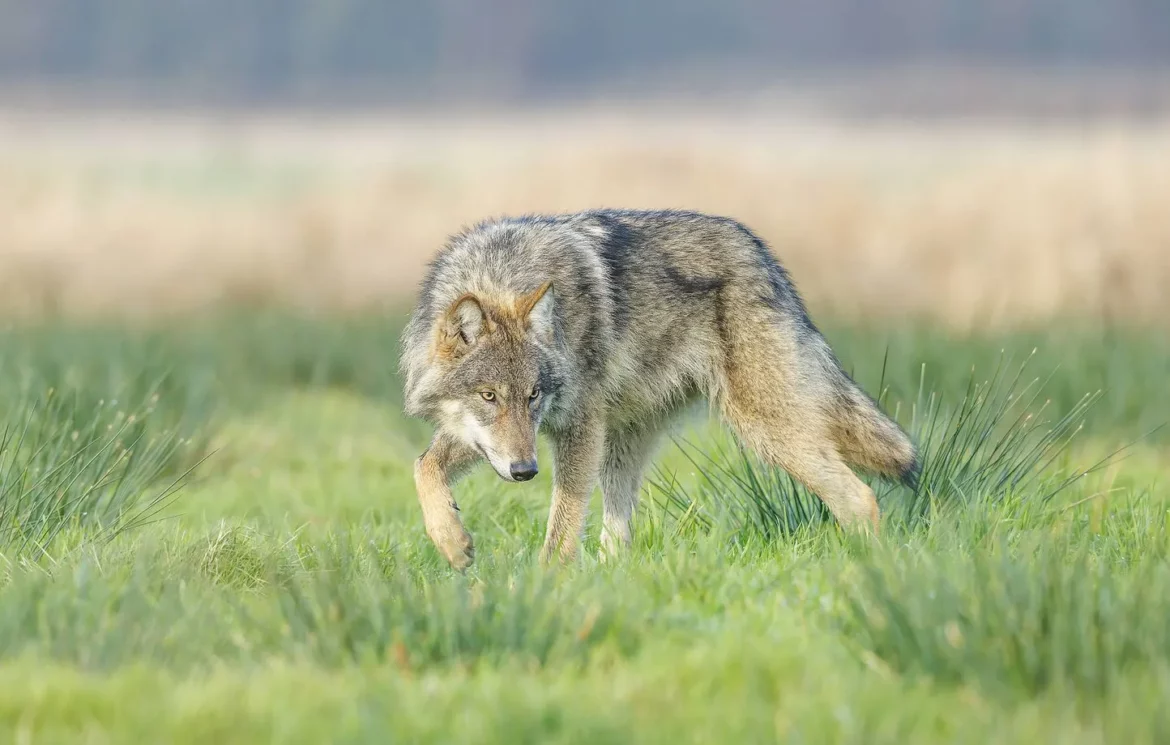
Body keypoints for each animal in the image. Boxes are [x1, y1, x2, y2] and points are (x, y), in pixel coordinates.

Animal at [397, 209, 917, 568]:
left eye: (533, 395)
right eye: (489, 396)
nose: (526, 472)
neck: (500, 273)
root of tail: (761, 253)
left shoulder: (579, 426)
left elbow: (561, 527)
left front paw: (543, 588)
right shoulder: (486, 437)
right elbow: (423, 466)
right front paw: (452, 542)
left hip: (764, 431)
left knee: (860, 498)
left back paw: (872, 571)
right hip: (623, 445)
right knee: (618, 540)